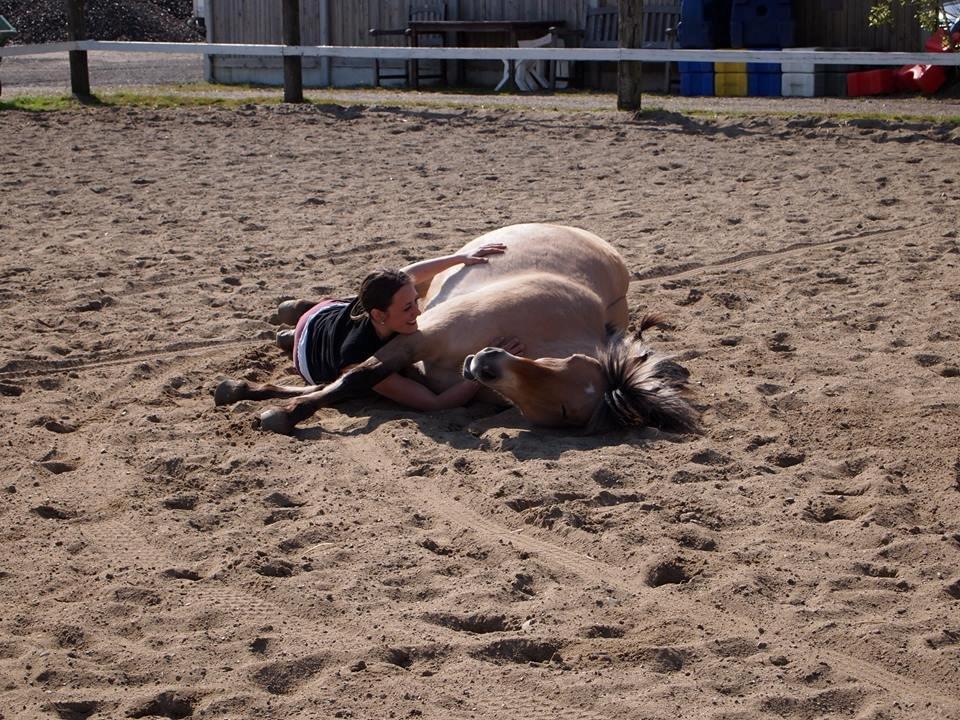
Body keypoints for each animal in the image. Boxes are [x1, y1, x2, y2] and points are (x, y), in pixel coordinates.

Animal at [216, 222, 696, 434]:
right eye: (566, 363)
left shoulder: (416, 360)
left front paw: (252, 393)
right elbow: (356, 377)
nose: (486, 365)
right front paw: (285, 412)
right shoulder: (421, 335)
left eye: (563, 413)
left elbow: (340, 380)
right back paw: (289, 314)